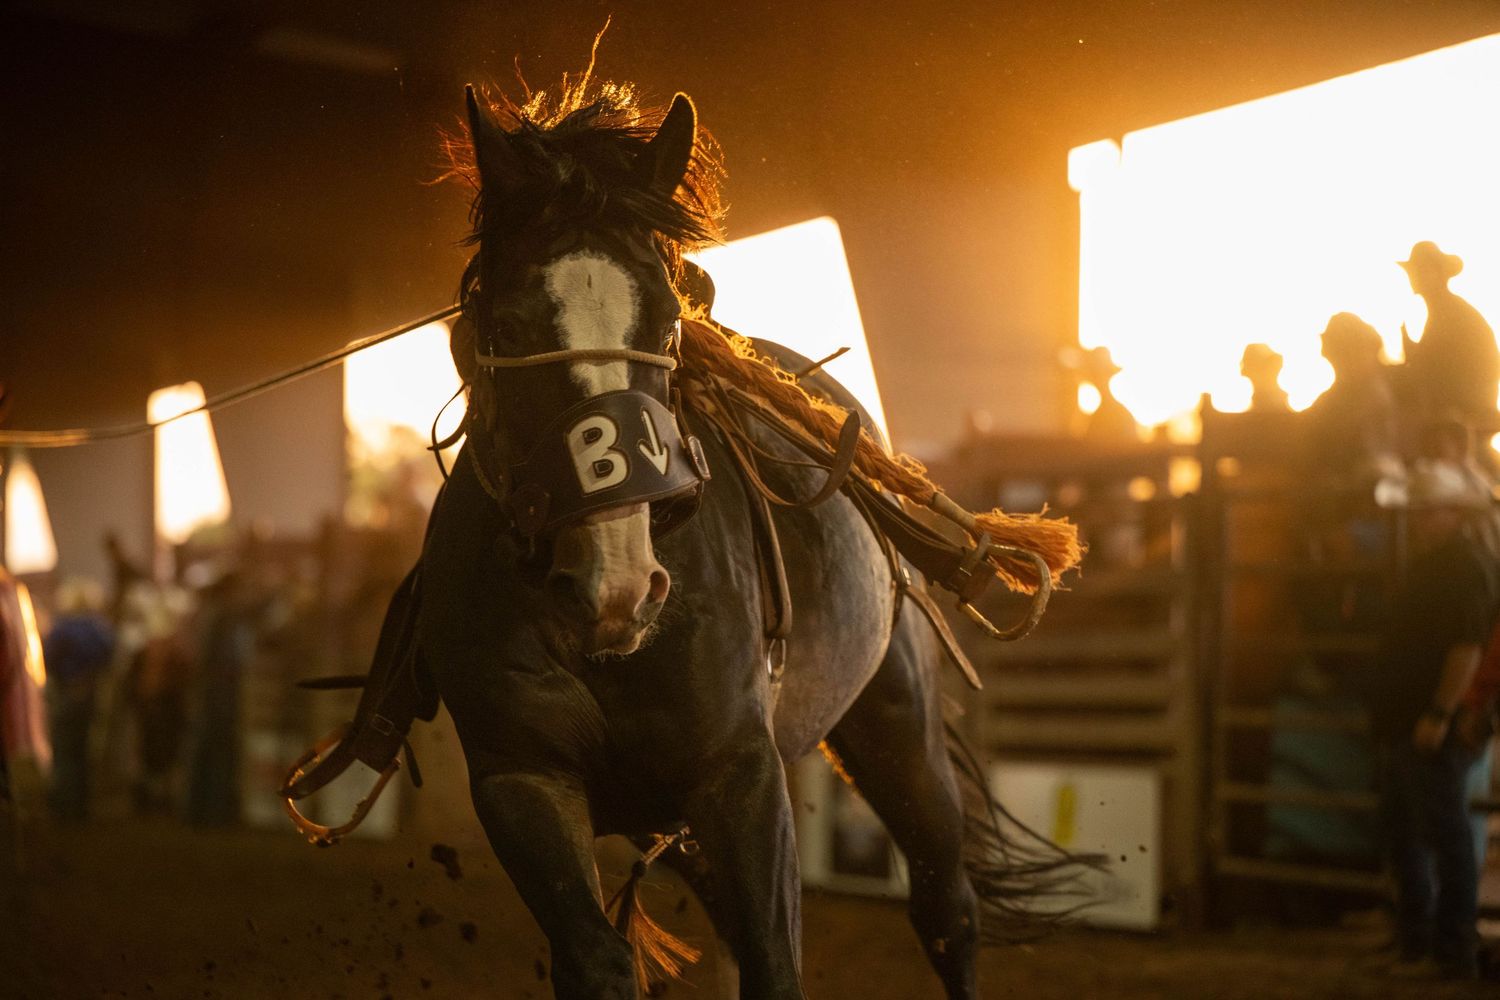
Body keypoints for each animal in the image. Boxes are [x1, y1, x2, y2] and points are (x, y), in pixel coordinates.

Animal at [399, 74, 1080, 1000]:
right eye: (503, 327)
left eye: (666, 324)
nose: (617, 586)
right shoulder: (521, 781)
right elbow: (597, 959)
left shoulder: (741, 776)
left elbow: (772, 959)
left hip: (898, 726)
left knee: (948, 912)